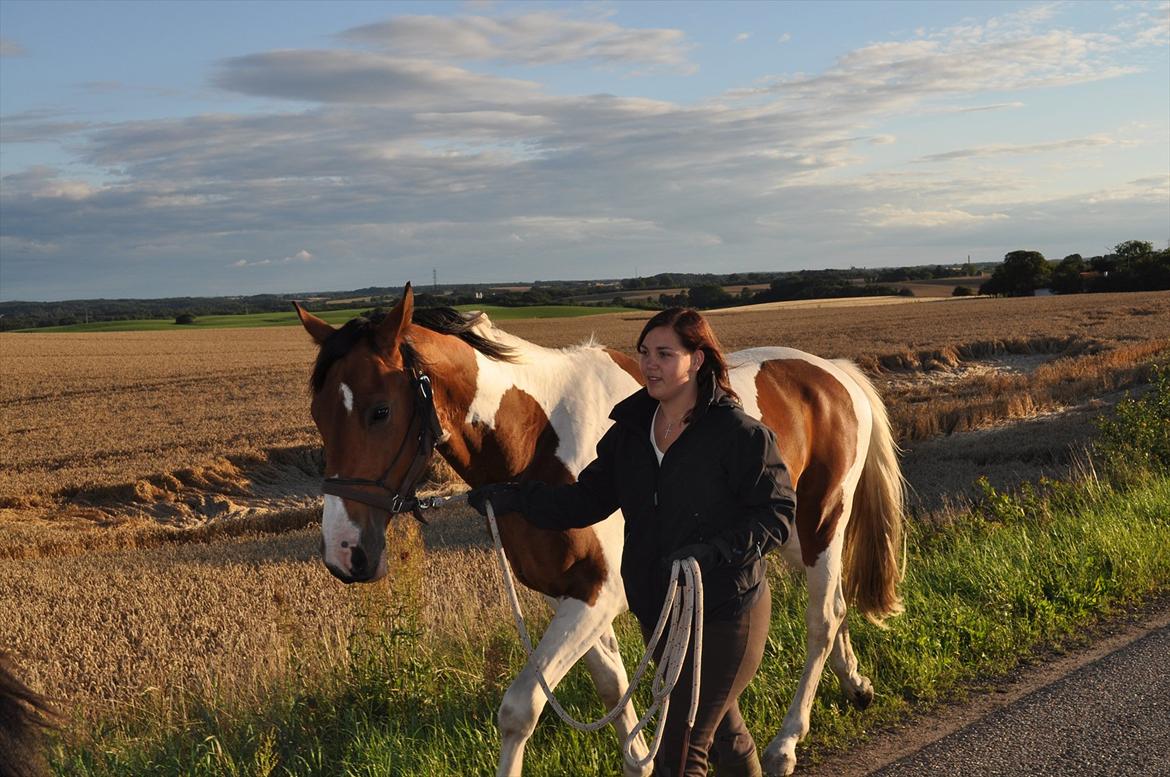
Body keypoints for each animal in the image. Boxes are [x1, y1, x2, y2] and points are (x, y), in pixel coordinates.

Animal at [292, 286, 903, 777]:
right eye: (319, 413)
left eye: (379, 411)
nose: (345, 553)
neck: (537, 439)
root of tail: (833, 372)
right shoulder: (573, 594)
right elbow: (613, 685)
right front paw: (640, 759)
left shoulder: (599, 594)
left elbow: (519, 709)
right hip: (791, 539)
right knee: (838, 607)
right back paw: (856, 685)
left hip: (822, 523)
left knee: (822, 619)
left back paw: (785, 744)